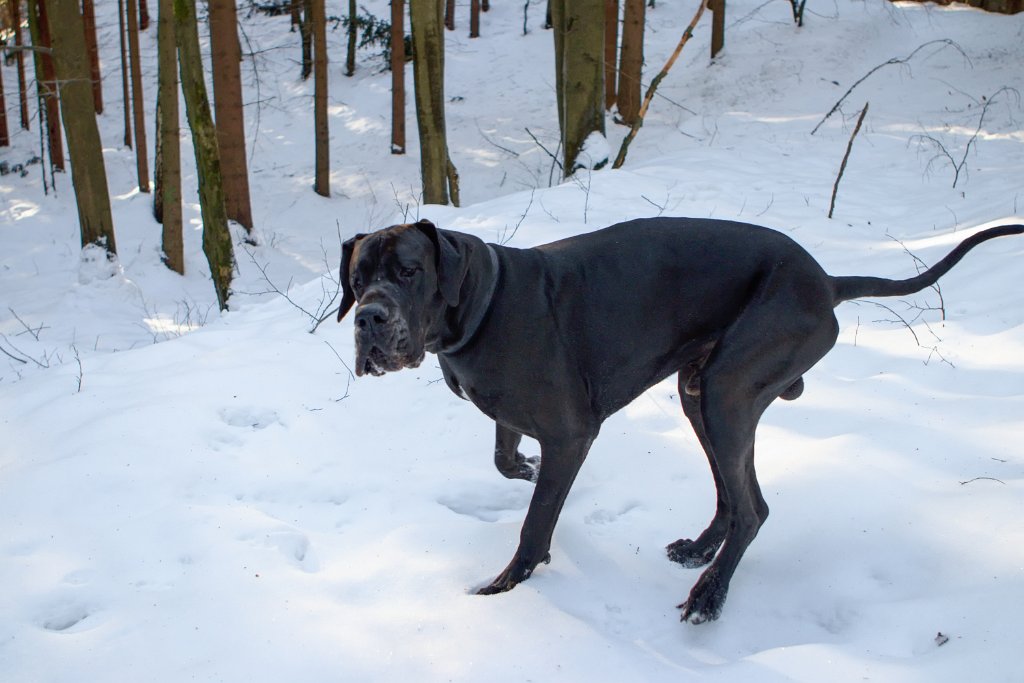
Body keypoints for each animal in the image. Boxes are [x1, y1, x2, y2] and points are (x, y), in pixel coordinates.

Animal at [337, 219, 1024, 626]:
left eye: (409, 272)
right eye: (356, 278)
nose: (367, 317)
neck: (482, 304)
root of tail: (826, 281)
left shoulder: (570, 433)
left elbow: (535, 523)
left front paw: (506, 586)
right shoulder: (514, 414)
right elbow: (506, 458)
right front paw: (523, 469)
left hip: (728, 389)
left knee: (753, 509)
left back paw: (710, 597)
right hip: (705, 391)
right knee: (735, 492)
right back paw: (700, 549)